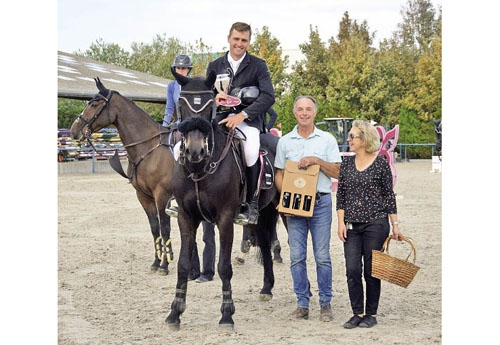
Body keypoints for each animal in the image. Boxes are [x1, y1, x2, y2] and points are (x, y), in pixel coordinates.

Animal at [70, 77, 176, 274]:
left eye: (94, 104)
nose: (74, 130)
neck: (148, 149)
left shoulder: (162, 197)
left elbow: (165, 229)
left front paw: (165, 265)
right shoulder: (144, 197)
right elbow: (154, 229)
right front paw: (156, 262)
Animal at [165, 69, 280, 328]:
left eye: (210, 106)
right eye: (181, 104)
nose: (194, 151)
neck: (199, 169)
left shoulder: (226, 219)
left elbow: (224, 267)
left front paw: (227, 314)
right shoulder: (186, 217)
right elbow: (183, 265)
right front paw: (175, 311)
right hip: (261, 216)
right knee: (264, 244)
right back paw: (267, 288)